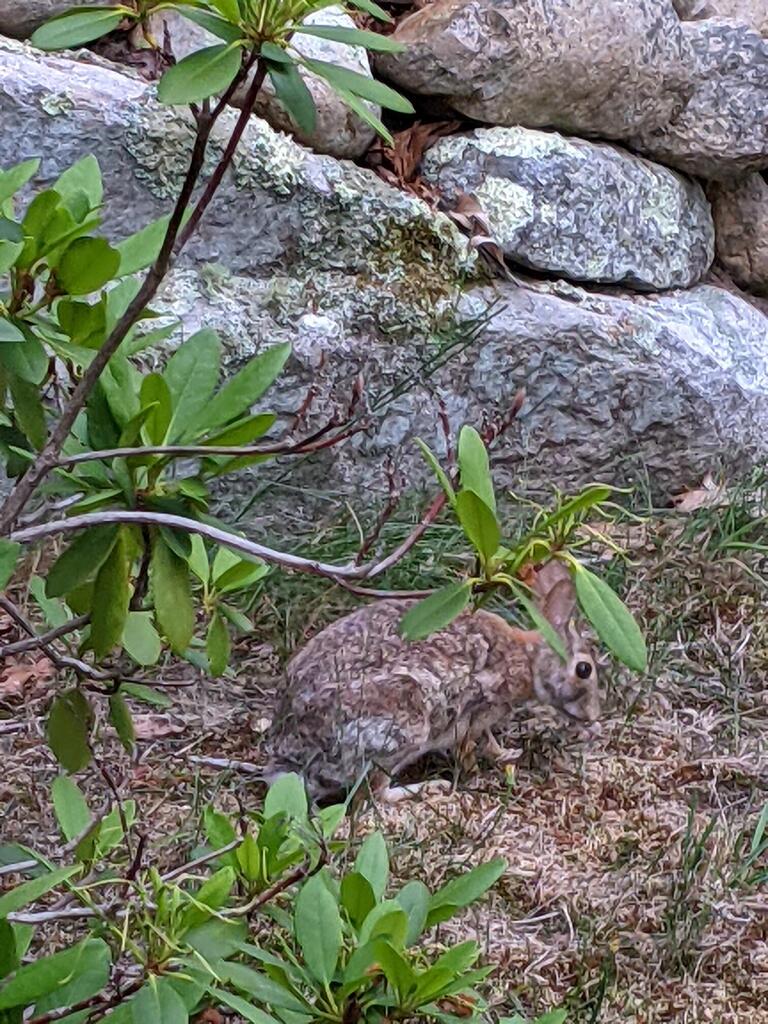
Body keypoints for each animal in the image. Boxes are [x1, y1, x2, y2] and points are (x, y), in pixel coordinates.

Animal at [261, 560, 599, 801]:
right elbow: (472, 746)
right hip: (401, 727)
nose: (594, 715)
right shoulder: (471, 714)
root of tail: (293, 760)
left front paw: (506, 754)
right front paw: (486, 767)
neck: (526, 661)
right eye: (584, 669)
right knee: (375, 794)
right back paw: (429, 787)